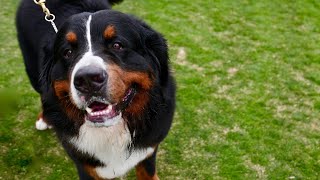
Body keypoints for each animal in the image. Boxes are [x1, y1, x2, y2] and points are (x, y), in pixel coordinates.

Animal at [15, 0, 175, 179]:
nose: (87, 79)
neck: (111, 131)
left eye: (117, 45)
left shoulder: (149, 149)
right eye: (67, 52)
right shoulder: (85, 165)